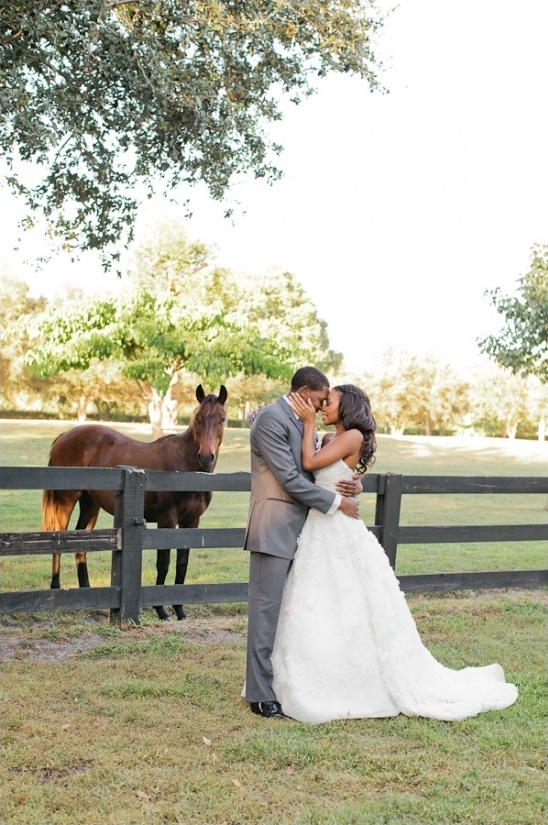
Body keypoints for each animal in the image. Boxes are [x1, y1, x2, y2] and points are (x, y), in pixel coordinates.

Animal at [42, 384, 227, 620]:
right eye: (198, 419)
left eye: (222, 419)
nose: (205, 457)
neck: (184, 466)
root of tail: (65, 435)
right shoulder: (167, 520)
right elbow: (164, 563)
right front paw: (161, 610)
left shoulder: (191, 522)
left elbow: (182, 563)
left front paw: (179, 609)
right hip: (67, 499)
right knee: (59, 536)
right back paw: (56, 587)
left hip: (90, 504)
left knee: (81, 541)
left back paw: (88, 593)